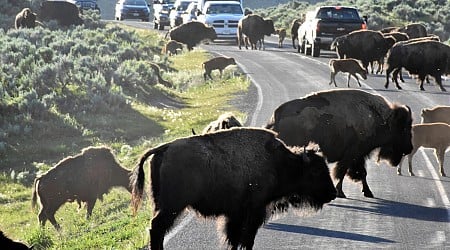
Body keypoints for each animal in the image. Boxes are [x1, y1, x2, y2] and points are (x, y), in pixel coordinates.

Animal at [132, 128, 336, 249]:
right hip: (172, 206)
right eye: (316, 171)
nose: (333, 193)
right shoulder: (254, 211)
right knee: (157, 228)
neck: (279, 163)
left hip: (161, 203)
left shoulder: (235, 214)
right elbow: (246, 238)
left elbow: (235, 237)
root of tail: (164, 148)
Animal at [264, 89, 414, 198]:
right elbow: (343, 173)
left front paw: (368, 192)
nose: (409, 148)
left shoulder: (357, 157)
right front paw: (341, 193)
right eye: (404, 128)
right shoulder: (352, 155)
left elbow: (361, 173)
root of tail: (277, 115)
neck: (382, 119)